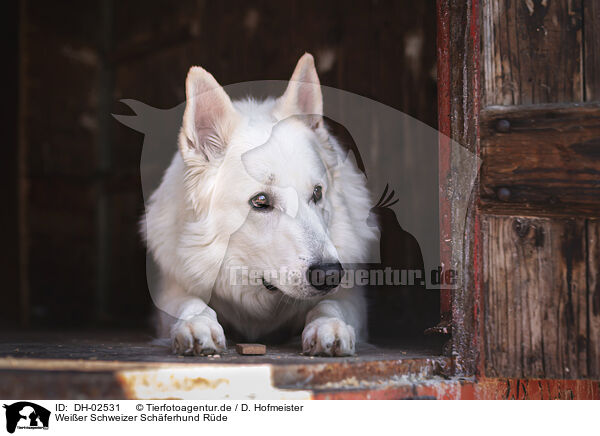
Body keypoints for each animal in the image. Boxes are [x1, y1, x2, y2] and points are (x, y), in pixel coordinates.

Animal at [144, 52, 376, 356]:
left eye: (317, 193)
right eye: (261, 201)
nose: (328, 274)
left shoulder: (351, 298)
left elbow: (330, 304)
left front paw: (329, 326)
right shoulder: (171, 291)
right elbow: (190, 302)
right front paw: (197, 323)